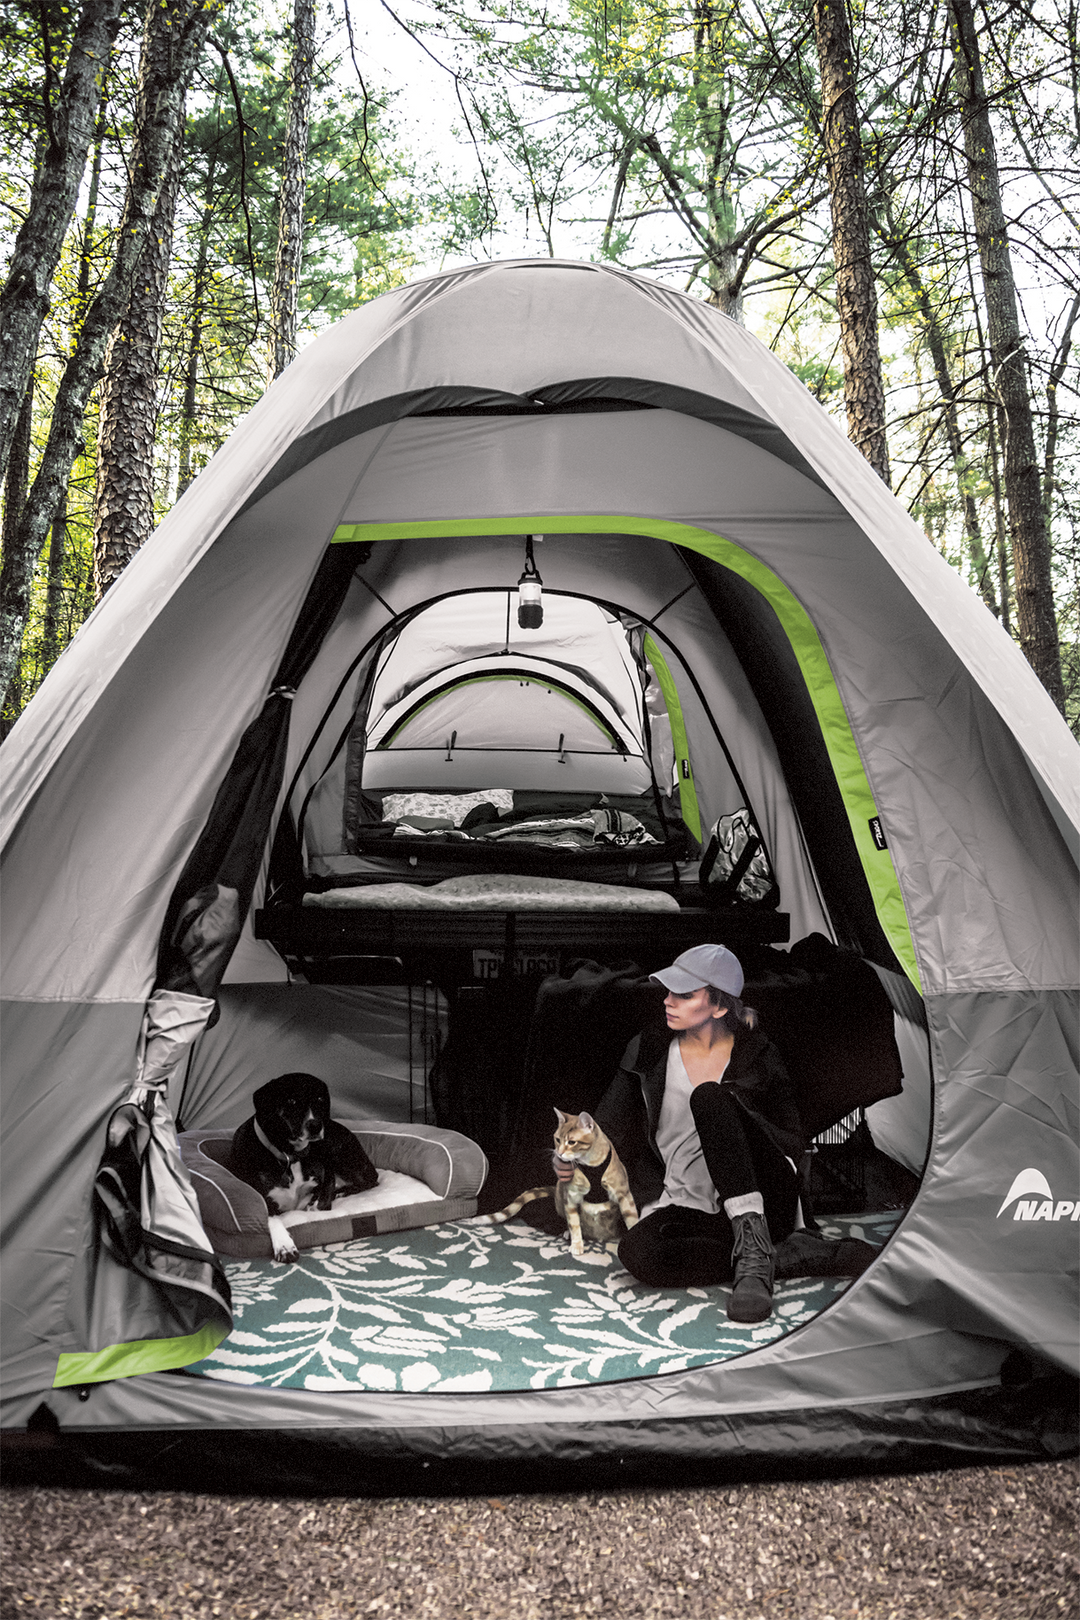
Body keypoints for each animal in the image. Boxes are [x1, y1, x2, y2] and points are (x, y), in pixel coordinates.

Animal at [229, 1075, 378, 1263]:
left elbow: (322, 1200)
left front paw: (317, 1205)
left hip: (340, 1154)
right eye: (291, 1101)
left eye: (321, 1099)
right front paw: (284, 1245)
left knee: (371, 1180)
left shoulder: (327, 1171)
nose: (315, 1125)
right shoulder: (260, 1195)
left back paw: (343, 1191)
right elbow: (270, 1217)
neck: (290, 1155)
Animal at [485, 1108, 637, 1257]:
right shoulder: (571, 1197)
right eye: (557, 1139)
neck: (590, 1163)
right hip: (560, 1193)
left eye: (572, 1142)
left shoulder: (624, 1195)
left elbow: (632, 1220)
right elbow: (574, 1224)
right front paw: (576, 1244)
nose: (559, 1153)